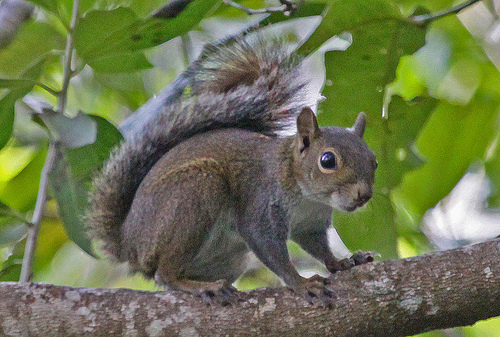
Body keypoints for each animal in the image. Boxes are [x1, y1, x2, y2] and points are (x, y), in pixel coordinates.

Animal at [85, 33, 376, 302]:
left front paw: (342, 263)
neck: (308, 197)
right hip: (194, 191)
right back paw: (201, 286)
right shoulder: (260, 206)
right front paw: (301, 283)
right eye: (327, 160)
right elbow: (270, 250)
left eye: (374, 160)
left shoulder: (310, 224)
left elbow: (319, 248)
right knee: (165, 274)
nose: (363, 195)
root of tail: (129, 242)